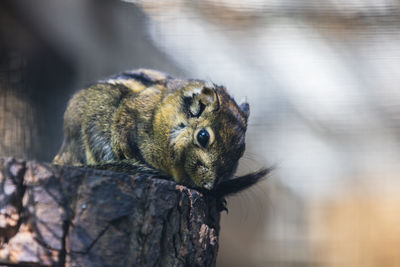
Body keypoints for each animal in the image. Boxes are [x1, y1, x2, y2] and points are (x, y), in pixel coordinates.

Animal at [53, 69, 268, 197]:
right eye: (203, 136)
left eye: (240, 151)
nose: (209, 186)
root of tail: (64, 152)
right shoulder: (129, 114)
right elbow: (123, 139)